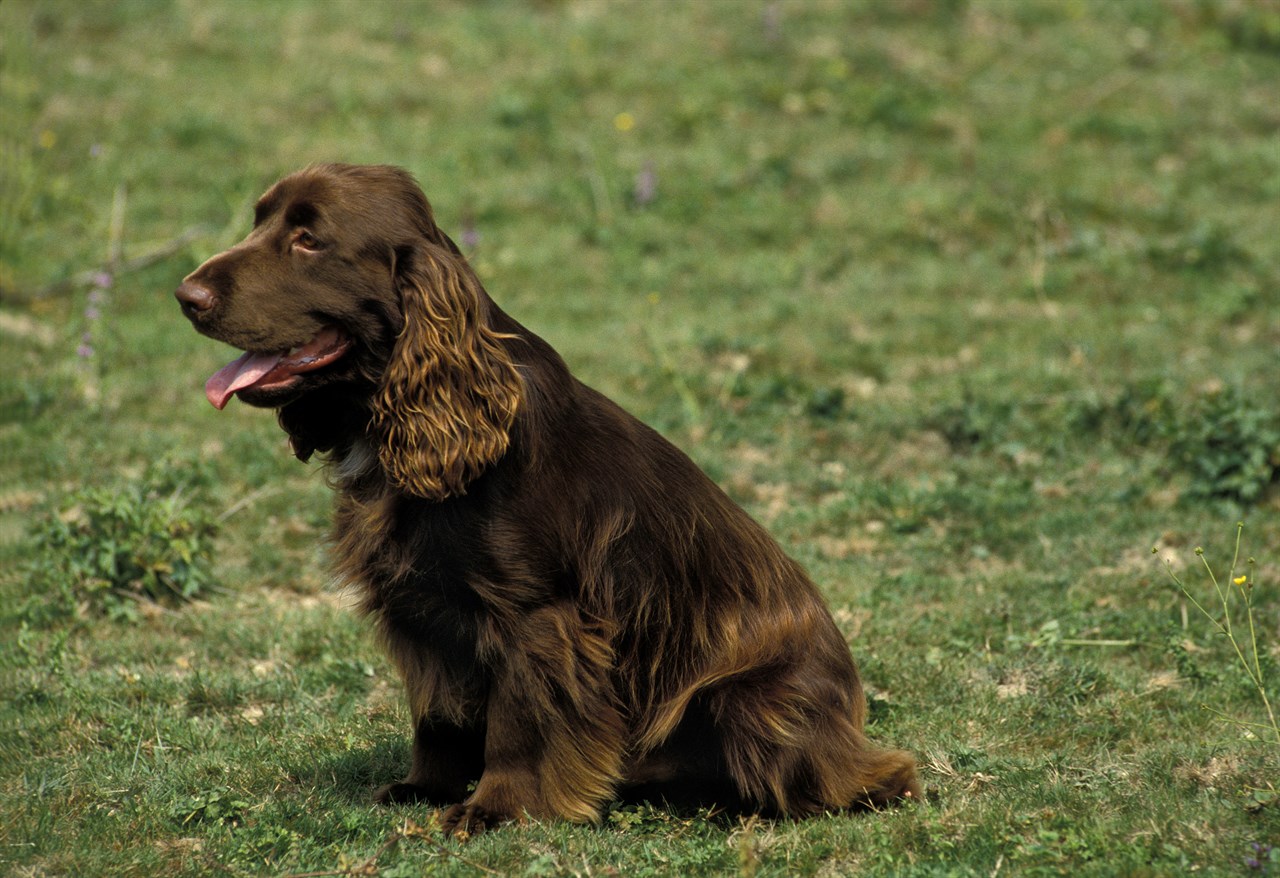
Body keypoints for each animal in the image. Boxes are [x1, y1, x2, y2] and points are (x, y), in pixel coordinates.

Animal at [177, 166, 921, 839]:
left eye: (309, 239)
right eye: (258, 221)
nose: (185, 295)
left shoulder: (536, 615)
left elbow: (519, 721)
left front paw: (495, 810)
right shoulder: (421, 610)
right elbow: (437, 715)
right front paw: (425, 789)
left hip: (749, 701)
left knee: (875, 777)